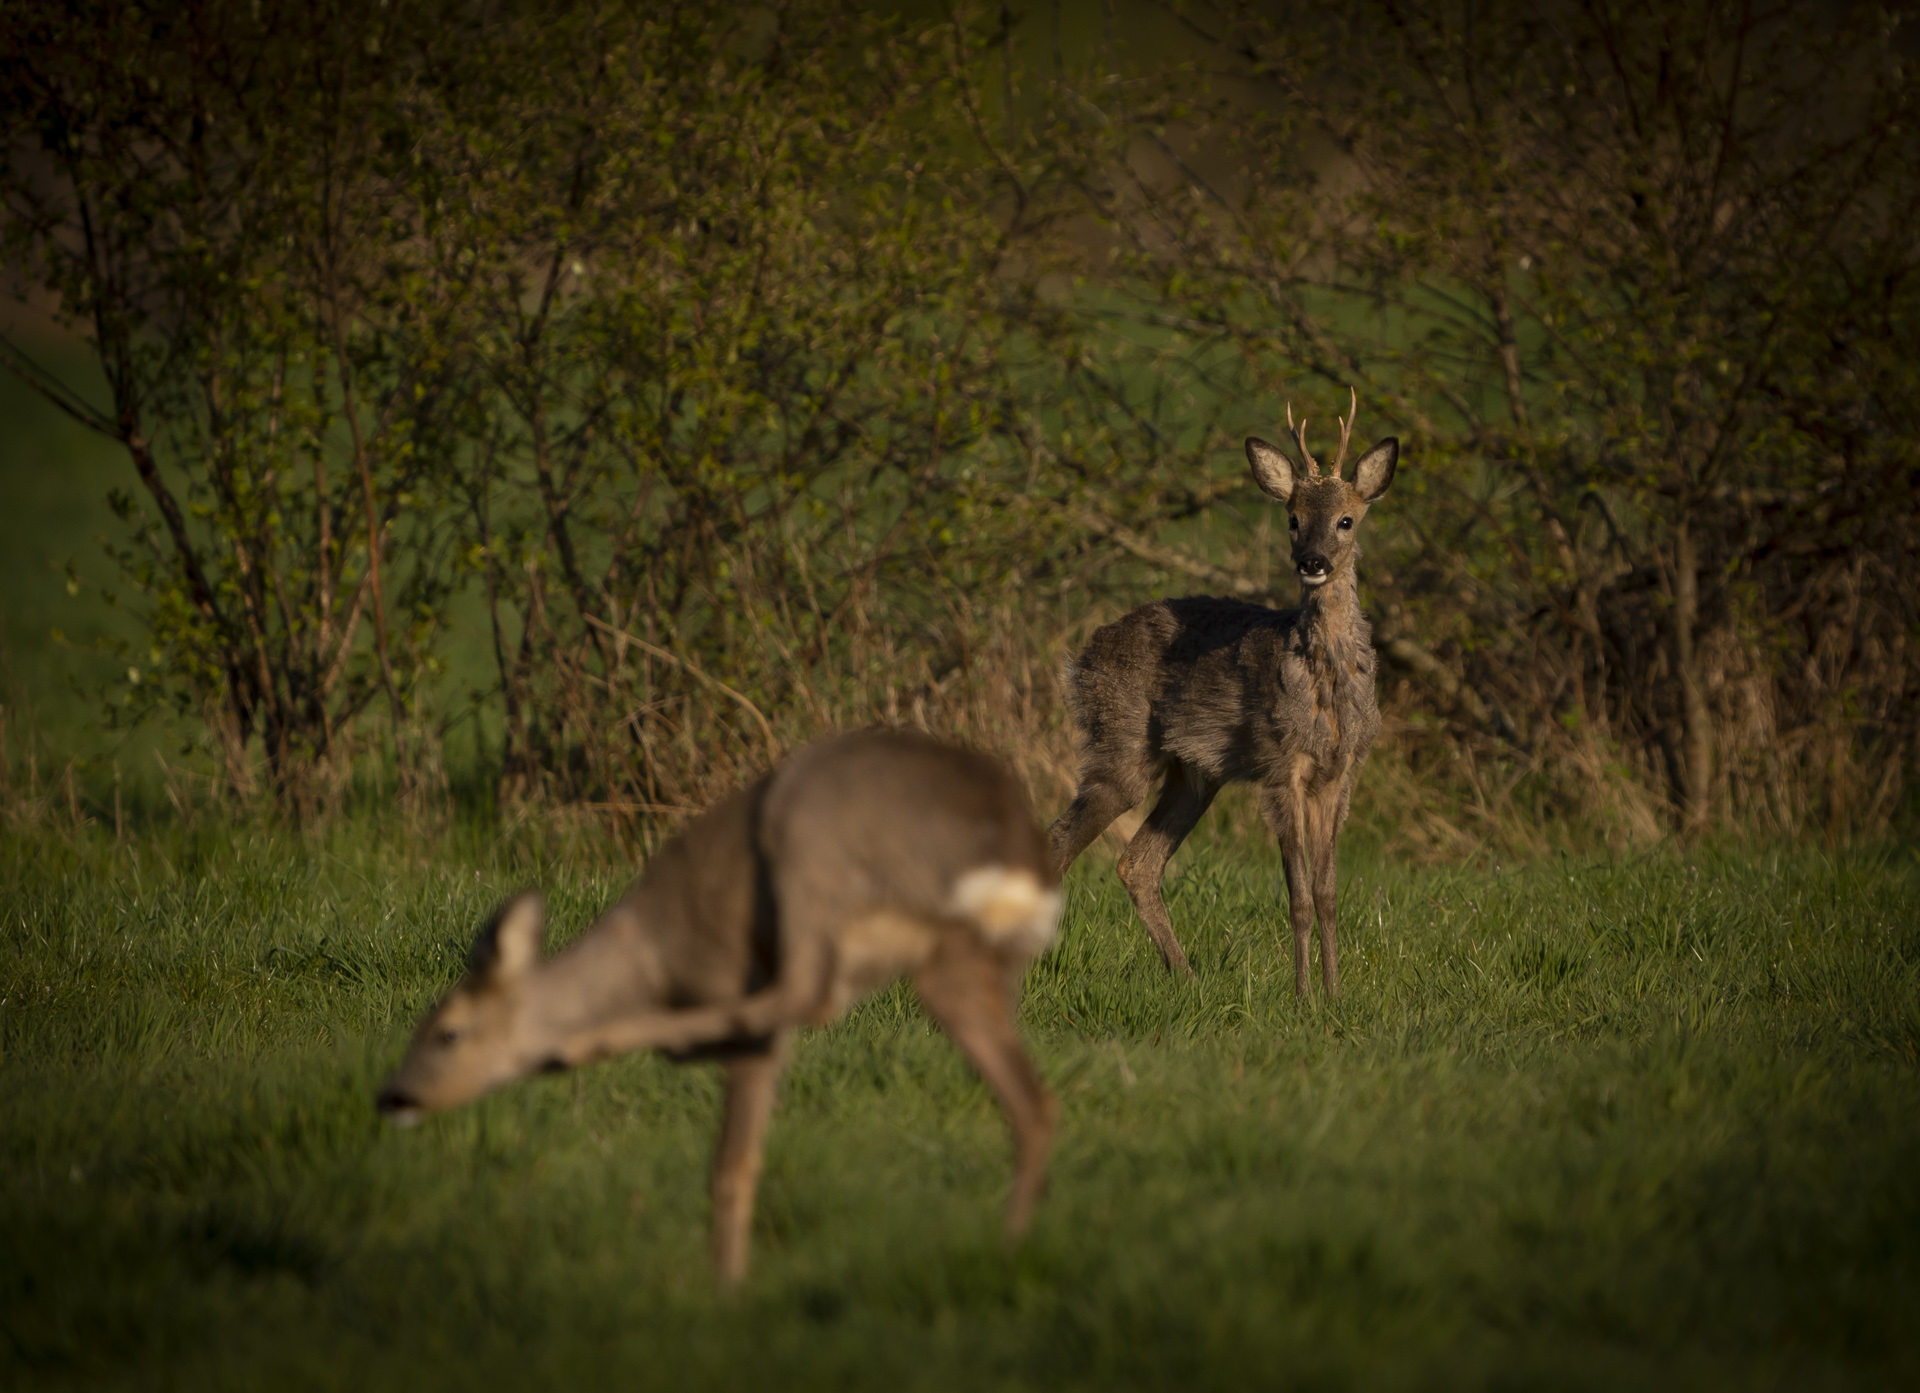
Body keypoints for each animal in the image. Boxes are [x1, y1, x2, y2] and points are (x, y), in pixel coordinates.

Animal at [374, 732, 1067, 1289]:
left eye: (446, 1033)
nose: (391, 1095)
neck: (652, 958)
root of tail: (1011, 841)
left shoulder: (734, 993)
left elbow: (730, 1162)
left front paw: (724, 1291)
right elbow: (742, 1159)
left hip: (806, 848)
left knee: (807, 991)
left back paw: (593, 1043)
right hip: (962, 963)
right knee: (1032, 1105)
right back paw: (1008, 1250)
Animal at [1052, 399, 1397, 997]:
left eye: (1346, 520)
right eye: (1292, 518)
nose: (1312, 561)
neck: (1325, 690)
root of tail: (1083, 657)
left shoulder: (1341, 773)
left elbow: (1328, 894)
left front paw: (1334, 994)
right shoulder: (1281, 767)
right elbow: (1298, 896)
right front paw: (1304, 997)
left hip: (1195, 772)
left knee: (1137, 863)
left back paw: (1187, 978)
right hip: (1120, 745)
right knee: (1059, 843)